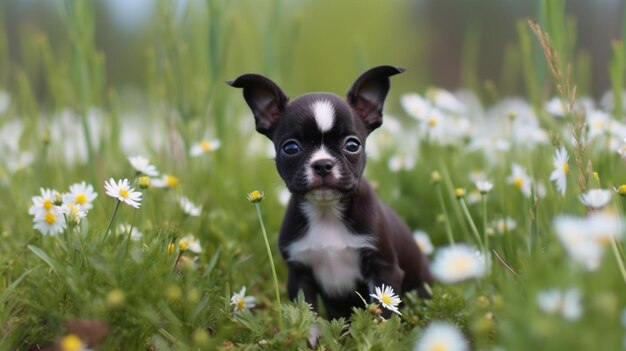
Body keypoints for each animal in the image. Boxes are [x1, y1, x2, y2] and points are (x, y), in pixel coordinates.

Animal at [228, 65, 428, 320]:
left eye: (352, 145)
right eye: (290, 148)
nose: (322, 164)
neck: (327, 212)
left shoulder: (384, 269)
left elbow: (383, 312)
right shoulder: (299, 273)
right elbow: (306, 314)